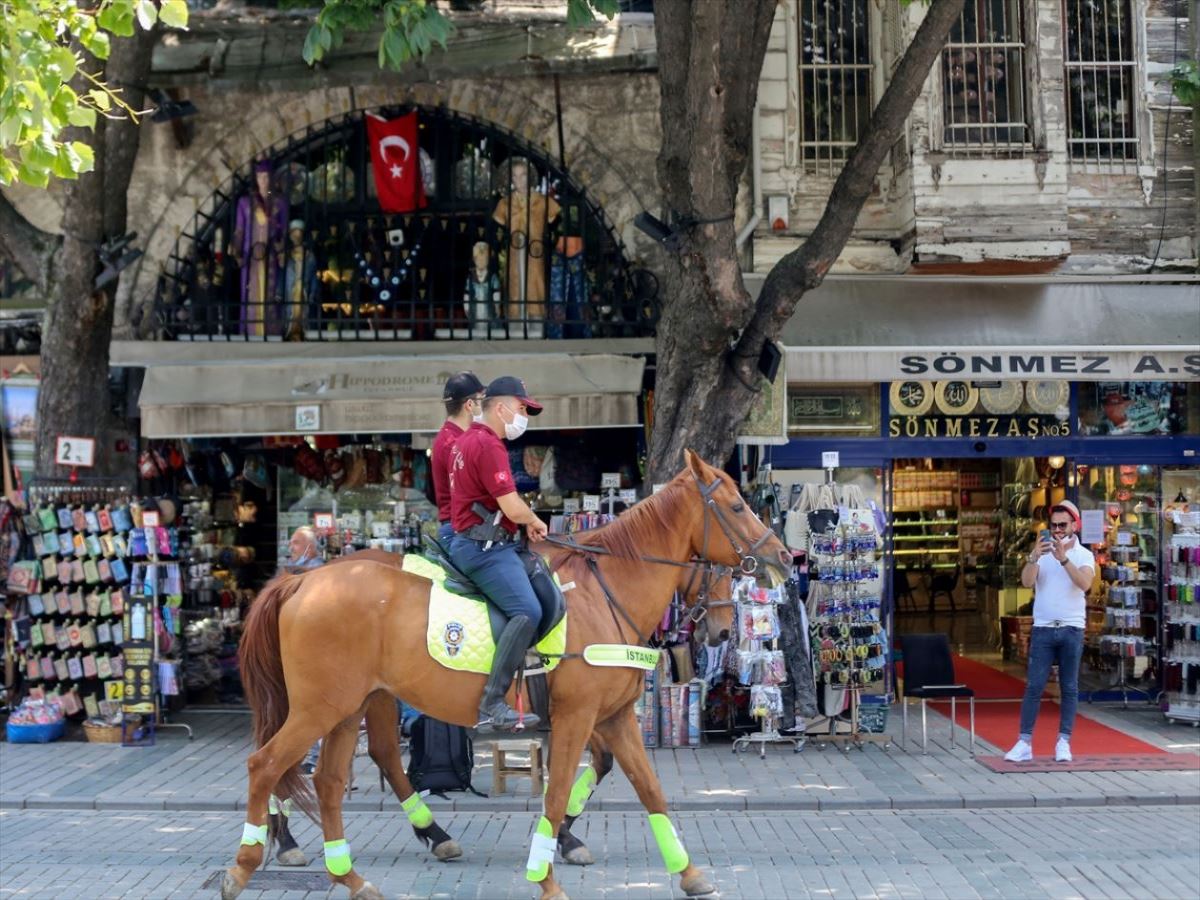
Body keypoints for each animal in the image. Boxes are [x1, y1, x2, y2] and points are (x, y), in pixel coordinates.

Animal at [220, 453, 792, 900]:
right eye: (736, 507)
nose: (783, 557)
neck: (606, 591)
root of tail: (305, 581)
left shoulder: (615, 718)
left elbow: (648, 789)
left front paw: (689, 872)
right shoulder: (577, 718)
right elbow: (557, 794)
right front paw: (547, 875)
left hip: (350, 708)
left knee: (331, 780)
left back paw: (354, 875)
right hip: (318, 708)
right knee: (265, 765)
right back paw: (247, 865)